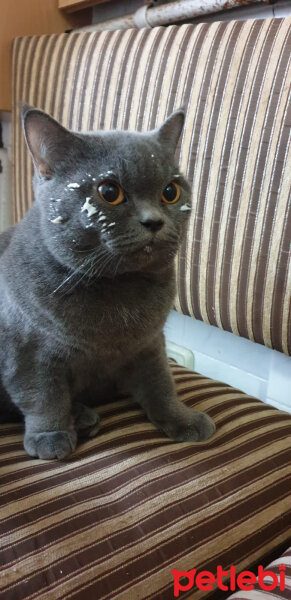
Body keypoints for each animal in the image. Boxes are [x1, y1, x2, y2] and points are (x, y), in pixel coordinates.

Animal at [0, 105, 214, 460]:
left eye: (170, 192)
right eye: (109, 192)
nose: (154, 221)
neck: (119, 289)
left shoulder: (149, 343)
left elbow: (161, 382)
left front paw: (181, 418)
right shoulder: (27, 350)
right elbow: (43, 396)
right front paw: (51, 435)